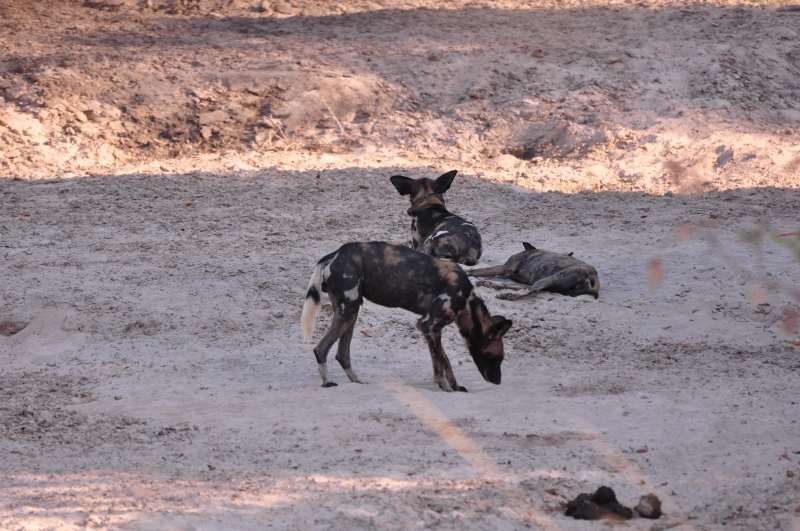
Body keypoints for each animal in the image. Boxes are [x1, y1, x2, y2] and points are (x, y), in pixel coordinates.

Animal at [301, 242, 512, 392]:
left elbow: (443, 360)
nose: (498, 381)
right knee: (321, 349)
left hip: (350, 313)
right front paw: (446, 388)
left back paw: (357, 381)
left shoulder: (427, 327)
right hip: (348, 311)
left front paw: (455, 386)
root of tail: (335, 253)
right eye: (496, 357)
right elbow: (441, 363)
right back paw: (328, 382)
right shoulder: (430, 326)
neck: (467, 299)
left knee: (342, 354)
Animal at [467, 242, 600, 300]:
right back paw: (489, 284)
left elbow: (475, 270)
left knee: (532, 289)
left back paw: (510, 295)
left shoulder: (506, 268)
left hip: (553, 278)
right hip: (550, 283)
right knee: (526, 287)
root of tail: (594, 275)